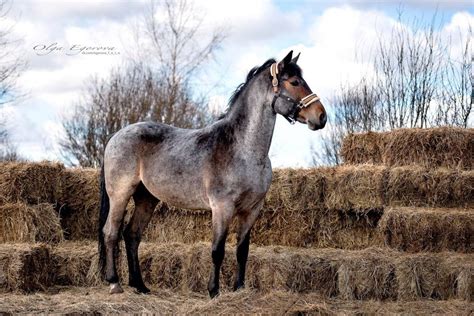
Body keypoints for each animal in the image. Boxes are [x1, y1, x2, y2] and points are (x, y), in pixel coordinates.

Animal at [98, 50, 328, 296]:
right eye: (294, 82)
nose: (321, 116)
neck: (243, 149)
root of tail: (115, 136)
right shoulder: (222, 208)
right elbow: (217, 250)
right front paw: (214, 291)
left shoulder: (252, 210)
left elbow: (242, 251)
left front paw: (239, 288)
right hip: (120, 194)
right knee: (111, 232)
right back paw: (114, 282)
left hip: (146, 198)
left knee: (132, 235)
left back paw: (140, 286)